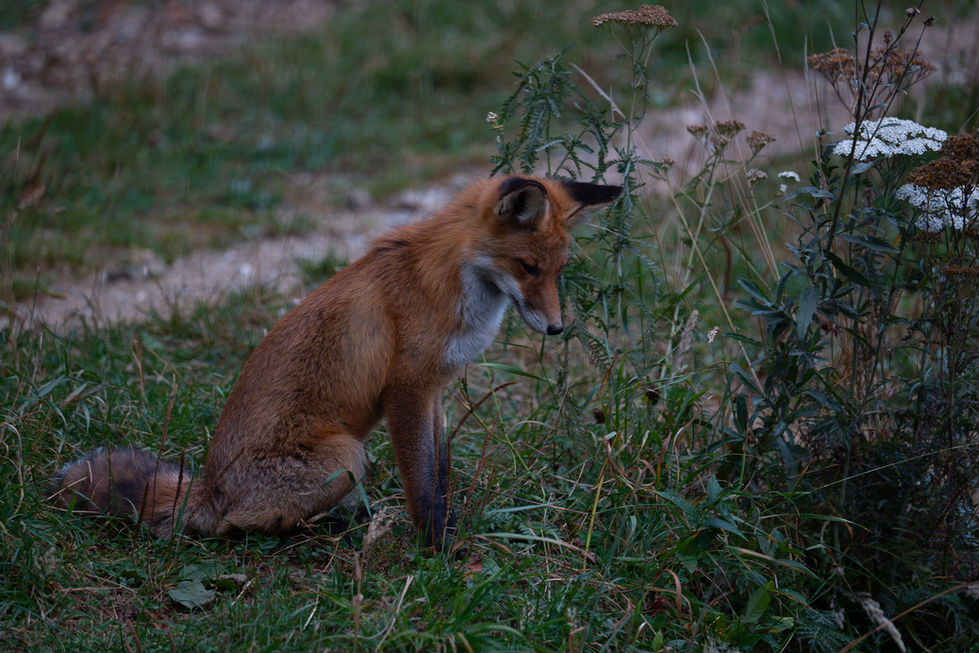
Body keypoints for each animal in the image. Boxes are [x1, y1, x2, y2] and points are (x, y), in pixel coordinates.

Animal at [49, 174, 622, 550]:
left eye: (558, 270)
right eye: (527, 267)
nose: (556, 328)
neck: (453, 285)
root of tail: (210, 490)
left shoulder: (435, 390)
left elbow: (439, 470)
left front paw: (450, 527)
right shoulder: (406, 391)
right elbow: (421, 482)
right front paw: (437, 548)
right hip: (347, 456)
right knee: (237, 526)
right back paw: (326, 524)